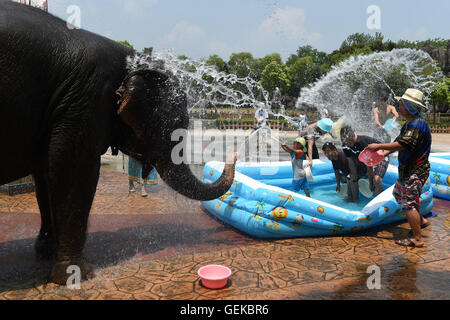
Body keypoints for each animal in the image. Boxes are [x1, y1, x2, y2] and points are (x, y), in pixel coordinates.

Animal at [0, 0, 237, 284]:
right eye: (180, 123)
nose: (233, 156)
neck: (131, 58)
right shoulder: (84, 101)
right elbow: (72, 170)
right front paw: (76, 275)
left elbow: (46, 174)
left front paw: (48, 253)